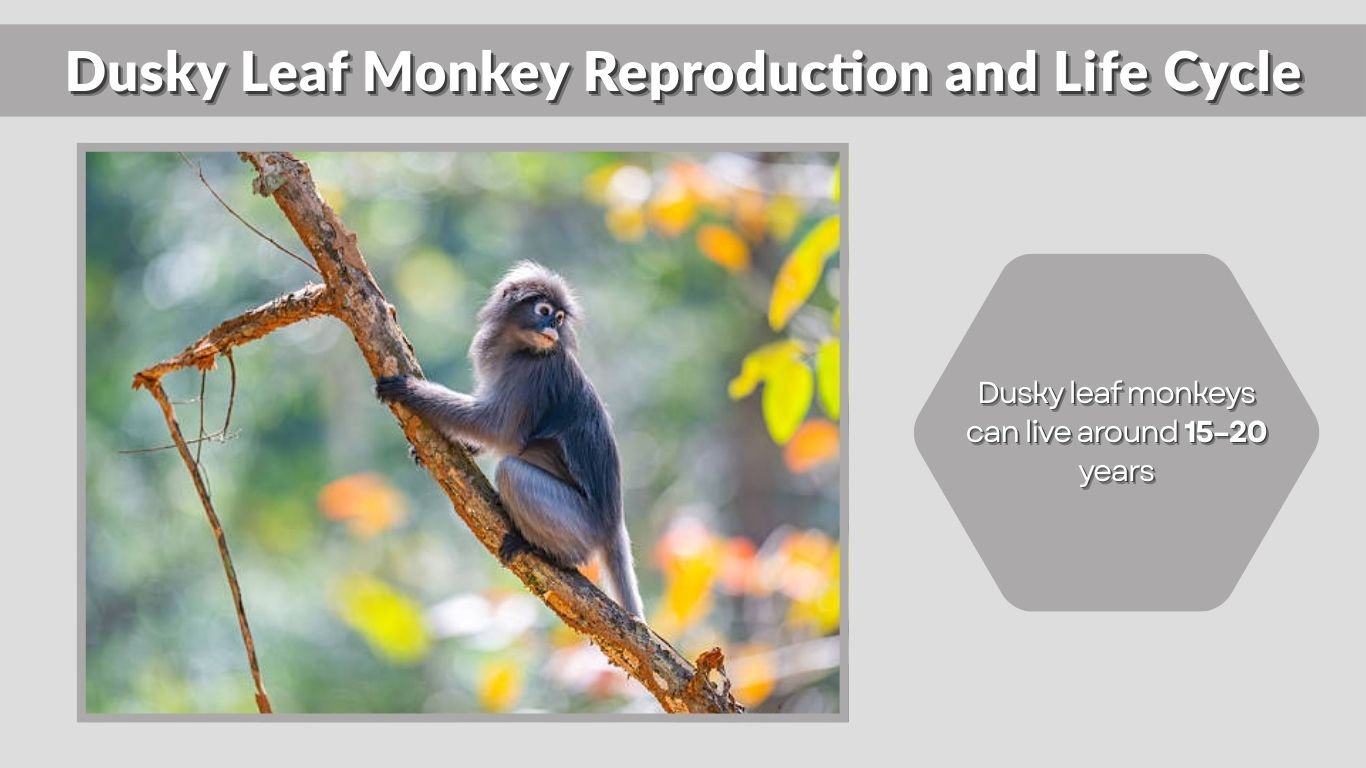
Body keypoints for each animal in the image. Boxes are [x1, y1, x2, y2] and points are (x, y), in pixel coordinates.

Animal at [374, 261, 645, 619]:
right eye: (544, 311)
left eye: (559, 318)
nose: (552, 328)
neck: (518, 347)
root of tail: (613, 525)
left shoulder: (532, 374)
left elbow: (501, 432)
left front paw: (411, 391)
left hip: (581, 524)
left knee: (511, 472)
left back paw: (552, 553)